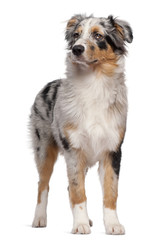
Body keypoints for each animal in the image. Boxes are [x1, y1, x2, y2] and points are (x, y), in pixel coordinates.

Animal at [29, 14, 133, 234]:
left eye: (98, 35)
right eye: (76, 35)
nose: (76, 49)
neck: (94, 81)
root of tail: (48, 84)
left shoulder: (113, 150)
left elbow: (111, 191)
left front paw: (112, 225)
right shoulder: (74, 150)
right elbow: (78, 191)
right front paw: (80, 224)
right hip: (44, 150)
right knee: (43, 185)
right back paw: (39, 219)